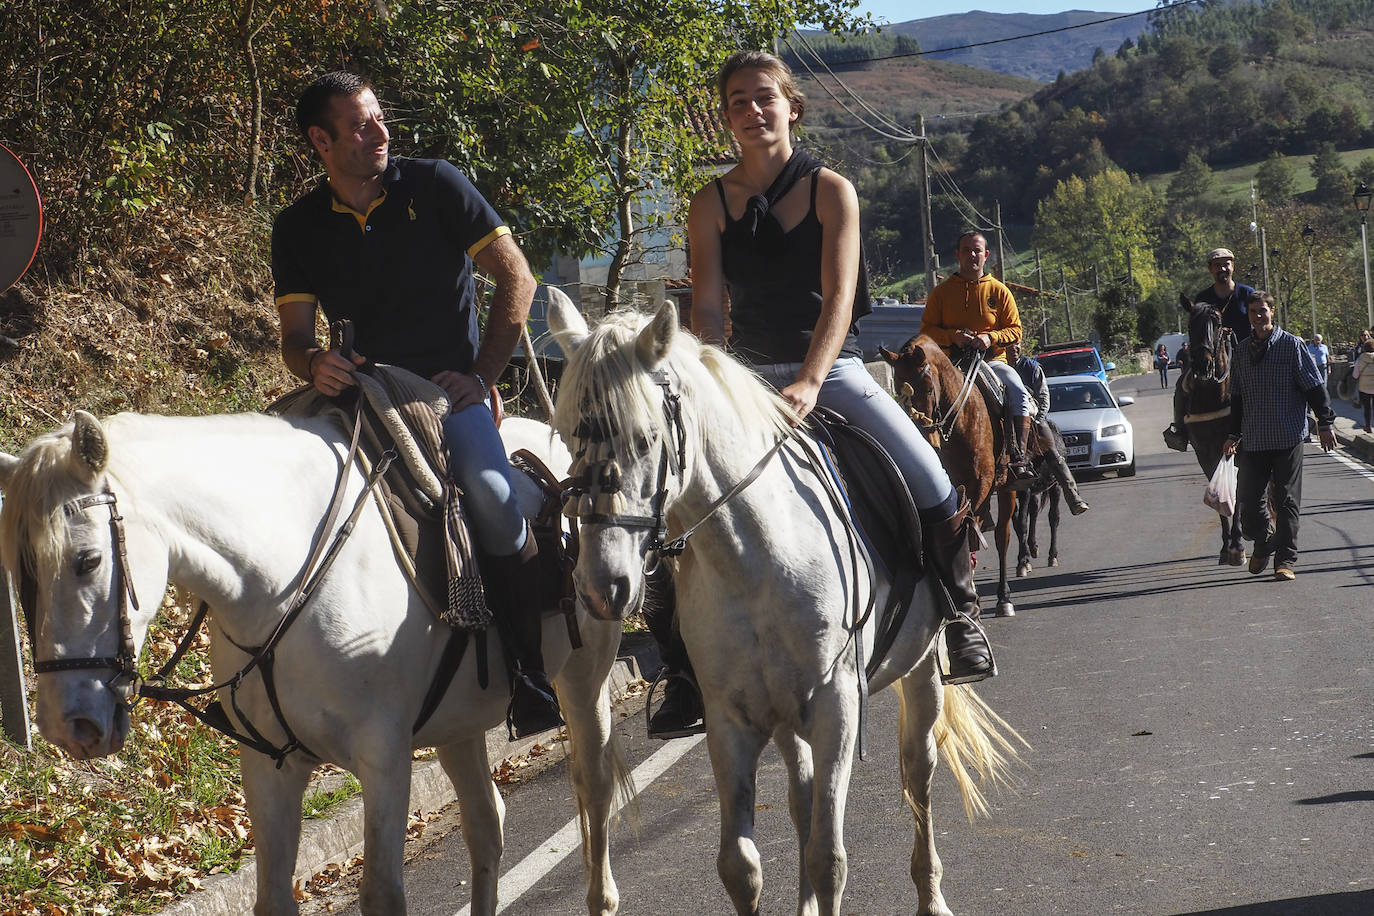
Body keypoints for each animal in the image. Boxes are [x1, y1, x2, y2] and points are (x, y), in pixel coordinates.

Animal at [0, 409, 629, 916]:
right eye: (20, 572)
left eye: (87, 561)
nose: (67, 726)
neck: (280, 581)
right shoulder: (271, 766)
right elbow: (274, 898)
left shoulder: (384, 758)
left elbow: (381, 894)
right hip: (461, 723)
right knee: (486, 824)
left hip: (584, 679)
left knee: (592, 784)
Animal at [546, 288, 1022, 916]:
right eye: (567, 437)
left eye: (647, 438)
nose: (602, 586)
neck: (754, 558)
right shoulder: (731, 719)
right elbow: (740, 866)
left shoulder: (836, 708)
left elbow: (828, 859)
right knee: (801, 797)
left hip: (919, 671)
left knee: (917, 772)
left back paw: (931, 894)